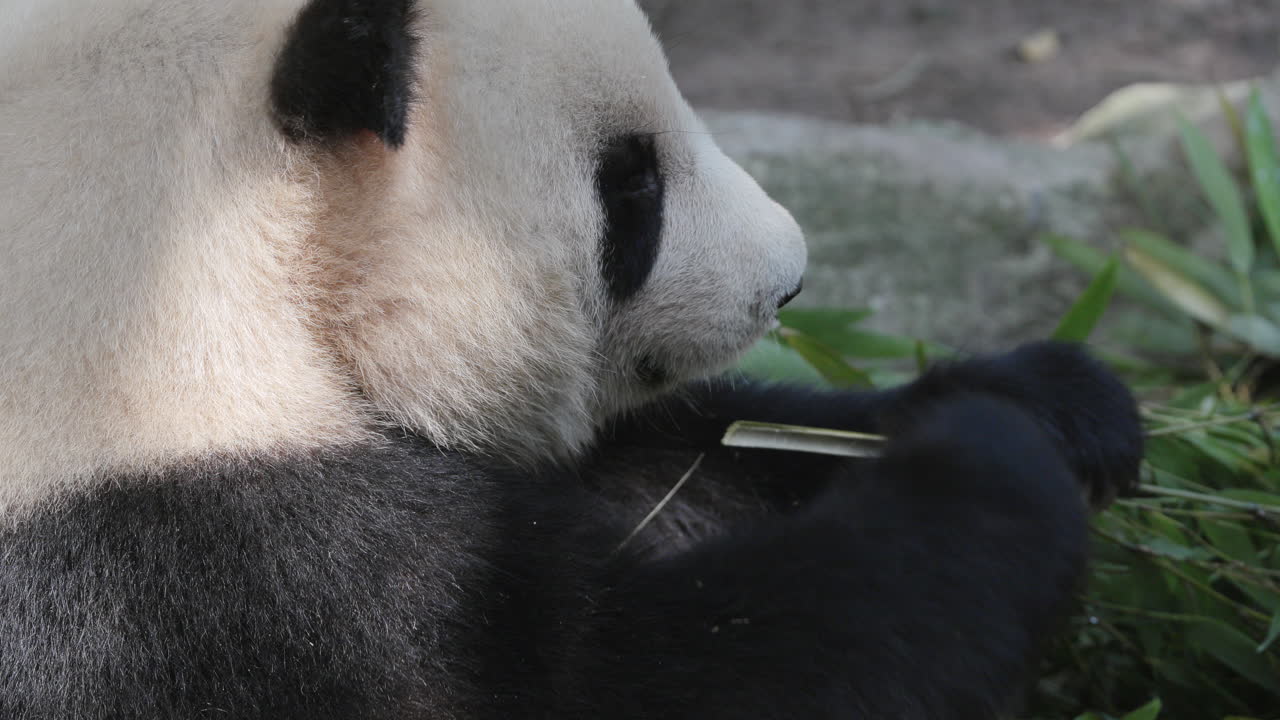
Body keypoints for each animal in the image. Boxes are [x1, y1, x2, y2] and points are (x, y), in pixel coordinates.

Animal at [0, 0, 1143, 718]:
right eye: (629, 183)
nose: (788, 281)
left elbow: (682, 466)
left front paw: (1057, 401)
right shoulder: (195, 573)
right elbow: (647, 678)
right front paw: (988, 460)